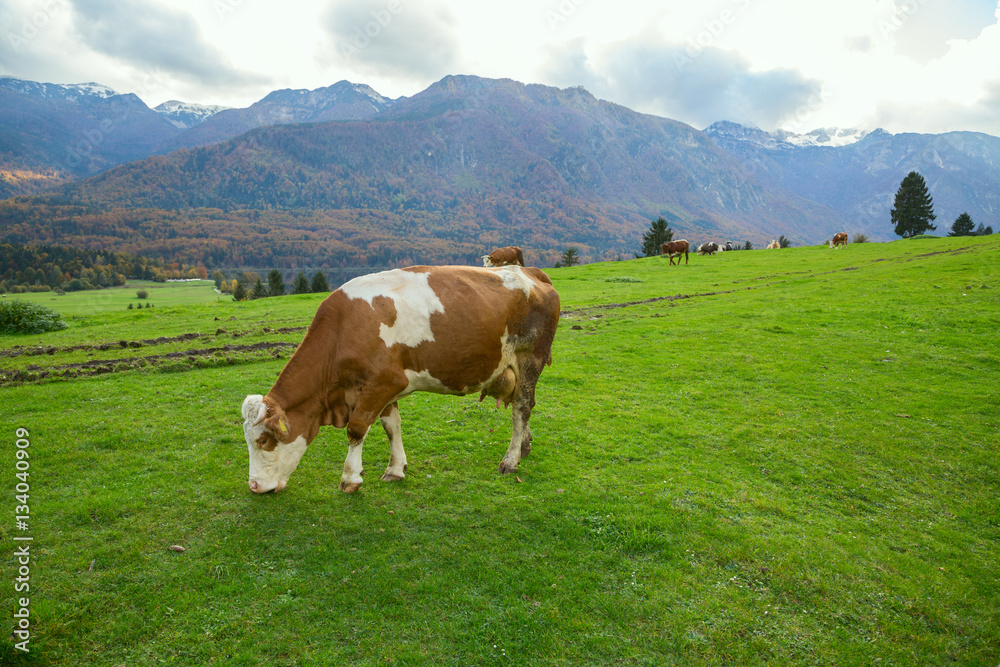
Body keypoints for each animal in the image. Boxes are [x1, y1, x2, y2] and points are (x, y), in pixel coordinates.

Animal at [238, 266, 560, 496]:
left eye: (263, 439)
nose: (253, 486)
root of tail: (531, 272)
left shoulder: (381, 383)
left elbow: (357, 429)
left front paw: (350, 478)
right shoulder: (385, 388)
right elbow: (391, 426)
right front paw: (395, 468)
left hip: (530, 358)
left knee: (522, 407)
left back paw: (510, 460)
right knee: (523, 406)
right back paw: (525, 446)